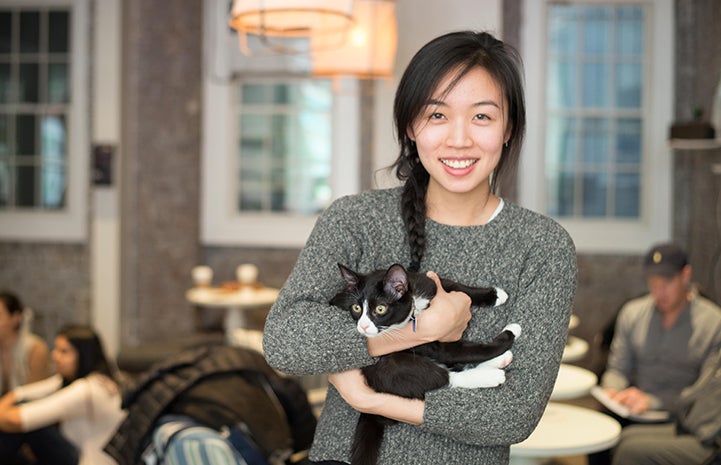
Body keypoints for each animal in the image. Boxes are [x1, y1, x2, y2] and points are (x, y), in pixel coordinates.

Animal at [330, 260, 520, 464]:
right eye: (356, 308)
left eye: (380, 309)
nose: (363, 326)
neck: (415, 307)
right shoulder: (426, 340)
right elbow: (464, 351)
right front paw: (510, 334)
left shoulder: (428, 282)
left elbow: (455, 286)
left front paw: (495, 295)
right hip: (389, 369)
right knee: (442, 376)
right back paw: (492, 372)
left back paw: (500, 361)